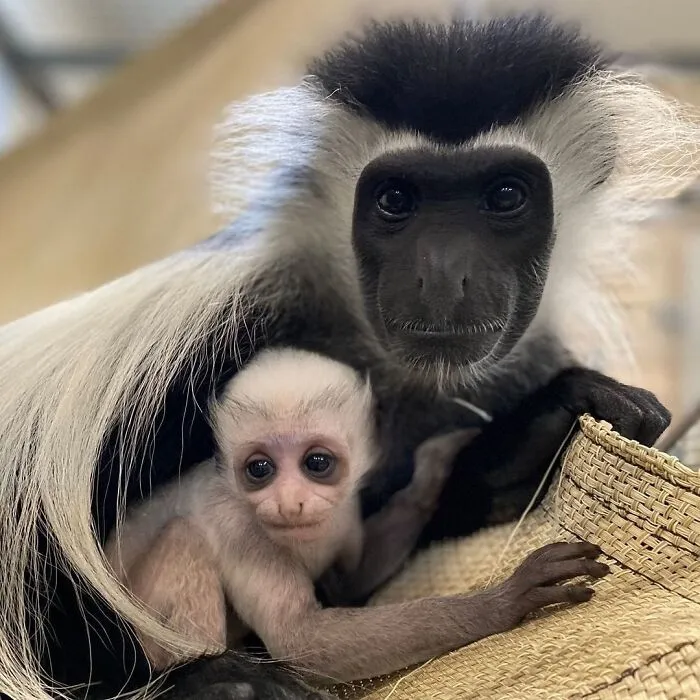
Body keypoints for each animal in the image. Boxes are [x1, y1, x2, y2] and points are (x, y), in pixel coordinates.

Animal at [105, 347, 608, 685]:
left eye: (317, 463)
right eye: (259, 470)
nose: (288, 502)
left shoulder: (344, 515)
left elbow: (351, 583)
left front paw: (431, 475)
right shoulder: (238, 524)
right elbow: (300, 641)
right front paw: (506, 598)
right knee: (183, 538)